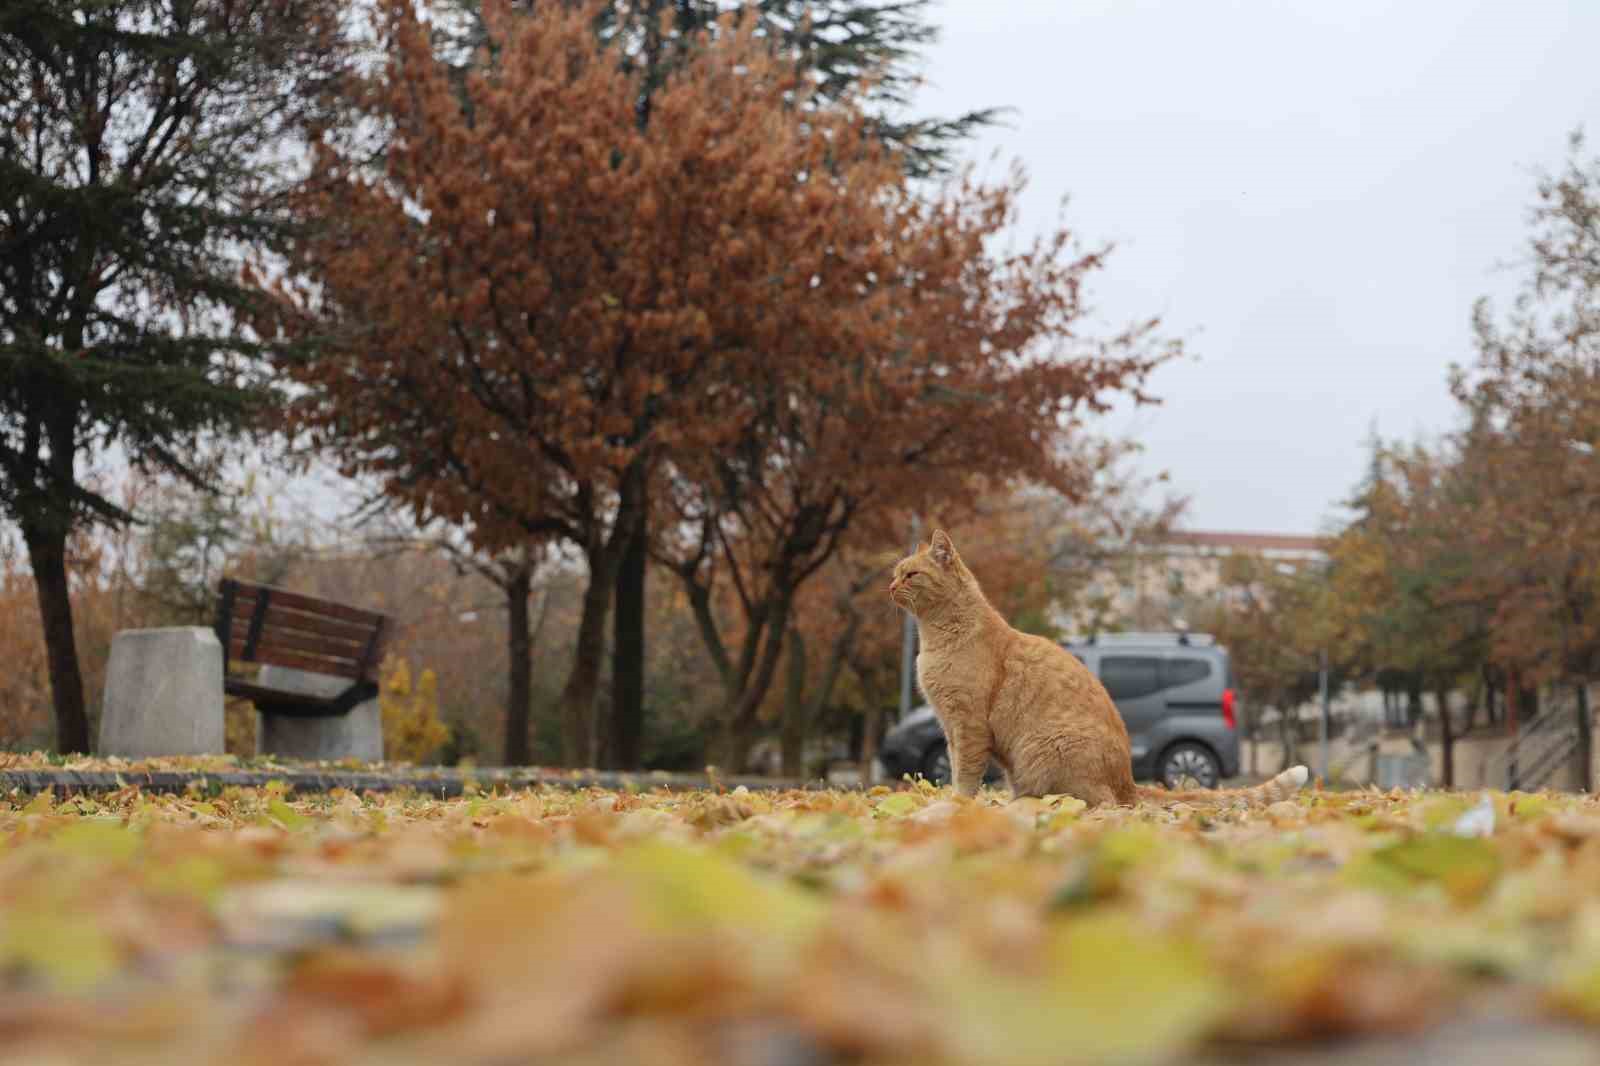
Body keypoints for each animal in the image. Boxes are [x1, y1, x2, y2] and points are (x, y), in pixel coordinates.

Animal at [896, 528, 1305, 800]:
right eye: (896, 572)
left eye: (911, 574)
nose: (889, 586)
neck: (937, 636)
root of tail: (1128, 780)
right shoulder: (951, 728)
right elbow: (954, 767)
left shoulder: (968, 725)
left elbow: (965, 775)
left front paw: (957, 806)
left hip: (1046, 749)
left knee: (1096, 804)